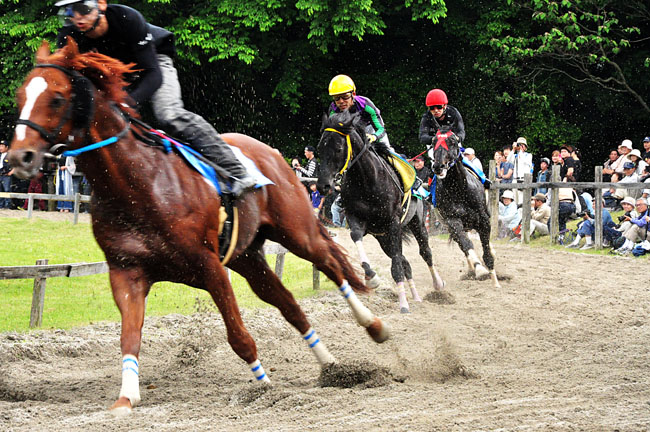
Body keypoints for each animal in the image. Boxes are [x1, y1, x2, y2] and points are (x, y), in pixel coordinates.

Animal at [9, 39, 390, 415]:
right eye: (20, 95)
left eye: (56, 98)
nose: (18, 157)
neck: (136, 183)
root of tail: (271, 153)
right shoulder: (126, 271)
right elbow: (129, 336)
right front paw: (126, 397)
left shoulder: (210, 266)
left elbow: (239, 336)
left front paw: (264, 387)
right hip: (247, 257)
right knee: (289, 304)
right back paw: (331, 366)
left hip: (296, 231)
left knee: (330, 264)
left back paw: (374, 324)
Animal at [316, 112, 446, 313]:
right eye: (319, 149)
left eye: (338, 149)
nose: (323, 185)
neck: (367, 180)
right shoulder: (357, 219)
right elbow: (356, 236)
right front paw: (371, 277)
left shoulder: (393, 223)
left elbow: (397, 267)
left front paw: (403, 305)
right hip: (383, 238)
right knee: (405, 262)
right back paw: (416, 297)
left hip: (416, 223)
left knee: (425, 252)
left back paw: (437, 285)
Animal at [429, 129, 501, 288]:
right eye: (433, 141)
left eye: (452, 142)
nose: (438, 166)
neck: (459, 189)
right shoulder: (453, 222)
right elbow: (467, 245)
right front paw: (479, 269)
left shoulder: (483, 221)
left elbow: (487, 252)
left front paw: (495, 282)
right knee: (464, 245)